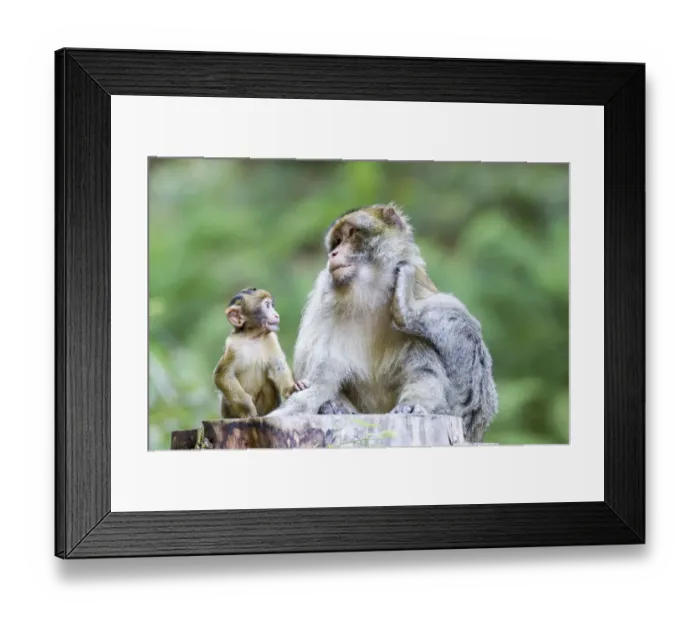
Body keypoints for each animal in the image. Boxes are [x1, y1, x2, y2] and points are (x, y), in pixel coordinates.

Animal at [213, 288, 309, 419]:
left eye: (272, 305)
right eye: (267, 305)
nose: (276, 315)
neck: (253, 337)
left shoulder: (271, 338)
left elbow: (278, 366)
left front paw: (292, 388)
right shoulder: (232, 346)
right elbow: (223, 375)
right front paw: (248, 409)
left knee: (268, 384)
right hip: (227, 411)